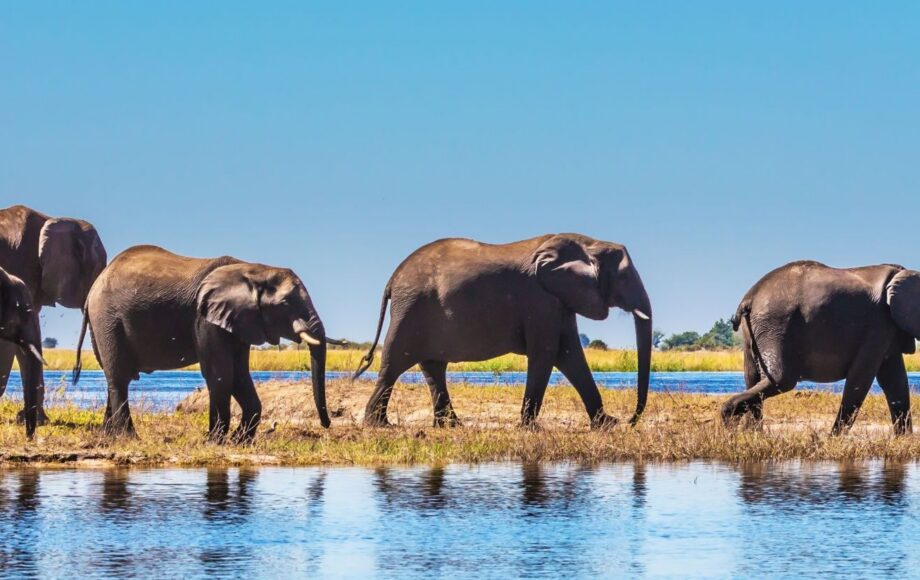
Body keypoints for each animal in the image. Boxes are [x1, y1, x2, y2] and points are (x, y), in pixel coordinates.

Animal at [74, 245, 337, 440]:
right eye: (285, 303)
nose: (327, 423)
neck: (253, 269)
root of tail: (93, 288)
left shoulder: (240, 320)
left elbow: (239, 374)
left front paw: (238, 441)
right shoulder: (204, 317)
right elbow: (219, 373)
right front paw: (215, 441)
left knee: (116, 377)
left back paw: (109, 438)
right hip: (107, 318)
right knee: (119, 378)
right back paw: (130, 438)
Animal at [354, 234, 652, 429]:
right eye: (625, 276)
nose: (631, 420)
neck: (589, 243)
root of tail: (392, 279)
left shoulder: (559, 300)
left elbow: (570, 356)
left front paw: (607, 425)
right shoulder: (540, 299)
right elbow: (547, 353)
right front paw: (530, 429)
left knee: (433, 367)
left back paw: (450, 425)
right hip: (411, 309)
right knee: (395, 362)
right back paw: (379, 425)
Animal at [723, 261, 920, 435]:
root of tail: (748, 298)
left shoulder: (887, 328)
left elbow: (895, 381)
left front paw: (903, 440)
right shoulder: (878, 325)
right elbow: (860, 380)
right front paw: (832, 439)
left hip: (756, 330)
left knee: (752, 378)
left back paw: (750, 434)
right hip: (775, 323)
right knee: (781, 379)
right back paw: (729, 419)